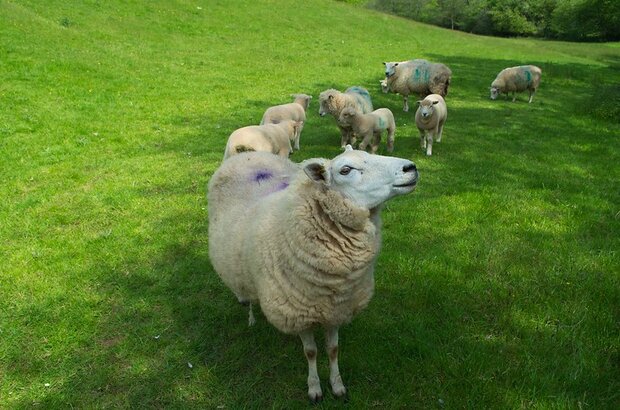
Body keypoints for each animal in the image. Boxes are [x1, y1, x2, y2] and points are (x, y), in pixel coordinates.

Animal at [207, 146, 416, 402]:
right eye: (345, 170)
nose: (411, 167)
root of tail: (247, 154)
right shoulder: (298, 314)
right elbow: (311, 352)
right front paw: (314, 387)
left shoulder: (337, 308)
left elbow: (333, 350)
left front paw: (337, 385)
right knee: (242, 289)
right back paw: (247, 308)